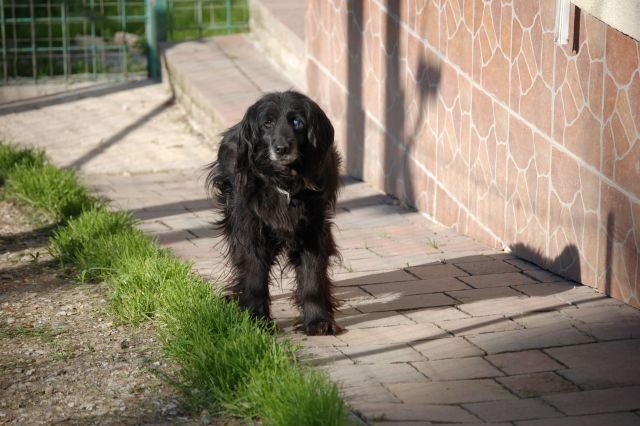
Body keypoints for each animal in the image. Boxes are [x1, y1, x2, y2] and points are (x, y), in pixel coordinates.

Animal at [206, 91, 341, 335]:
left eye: (297, 122)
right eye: (267, 123)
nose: (281, 148)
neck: (284, 183)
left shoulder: (314, 230)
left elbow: (313, 275)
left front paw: (318, 320)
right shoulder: (251, 230)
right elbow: (254, 273)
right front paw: (255, 318)